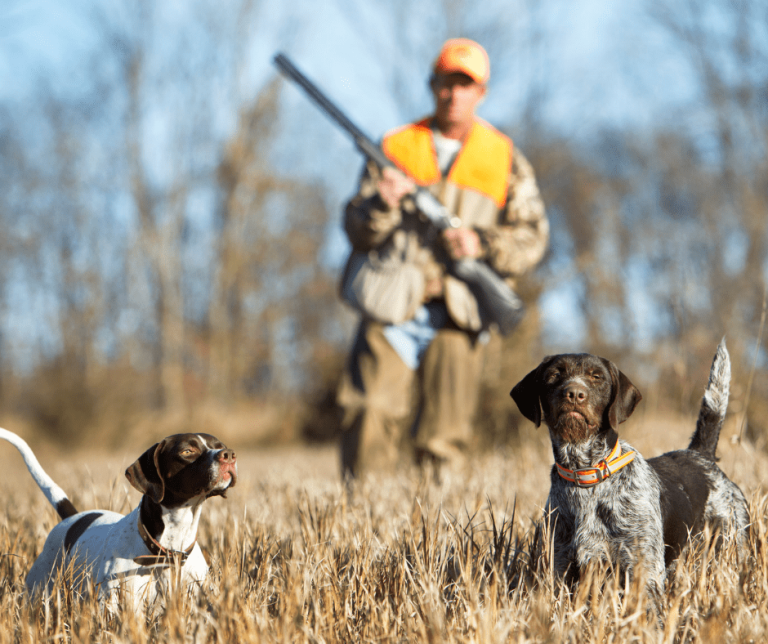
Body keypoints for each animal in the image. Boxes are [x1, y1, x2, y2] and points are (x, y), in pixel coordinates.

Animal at [0, 430, 237, 612]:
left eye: (220, 446)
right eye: (187, 451)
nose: (229, 455)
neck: (168, 550)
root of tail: (71, 518)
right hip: (39, 592)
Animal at [510, 342, 752, 608]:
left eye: (597, 377)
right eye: (554, 375)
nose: (574, 394)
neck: (586, 477)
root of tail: (701, 455)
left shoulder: (643, 571)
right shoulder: (560, 569)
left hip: (732, 545)